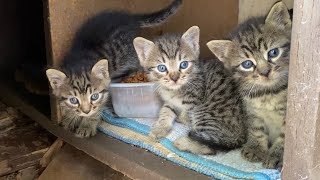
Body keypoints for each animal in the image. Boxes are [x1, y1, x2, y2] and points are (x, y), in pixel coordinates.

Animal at [44, 0, 181, 137]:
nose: (86, 111)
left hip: (127, 56)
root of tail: (128, 18)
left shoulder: (103, 92)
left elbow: (97, 109)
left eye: (94, 97)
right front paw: (71, 118)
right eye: (73, 100)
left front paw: (87, 124)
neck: (79, 61)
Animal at [132, 26, 245, 154]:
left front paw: (181, 119)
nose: (175, 78)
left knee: (210, 148)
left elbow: (186, 115)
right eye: (162, 68)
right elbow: (166, 110)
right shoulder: (169, 102)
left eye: (184, 64)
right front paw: (160, 127)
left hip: (204, 113)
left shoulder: (194, 103)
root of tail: (242, 136)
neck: (174, 91)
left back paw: (182, 143)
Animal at [206, 1, 292, 169]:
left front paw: (277, 155)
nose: (265, 72)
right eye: (247, 64)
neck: (268, 93)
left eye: (273, 53)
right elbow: (256, 128)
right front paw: (256, 148)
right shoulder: (252, 111)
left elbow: (285, 136)